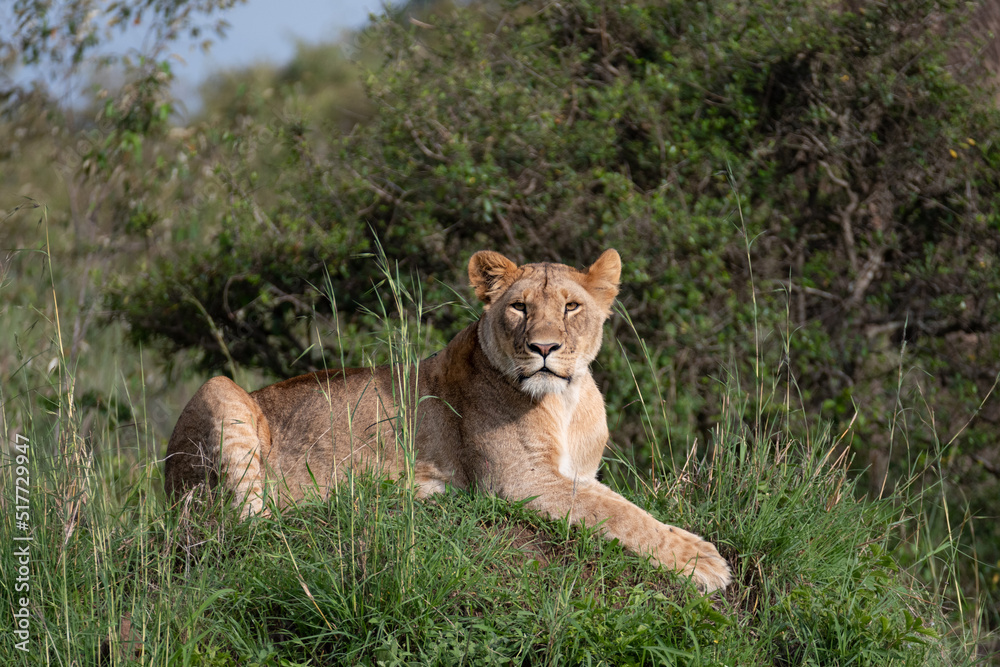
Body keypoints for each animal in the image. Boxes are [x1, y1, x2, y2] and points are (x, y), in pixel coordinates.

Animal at [164, 249, 732, 591]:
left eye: (572, 306)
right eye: (519, 307)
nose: (544, 348)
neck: (565, 403)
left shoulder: (576, 474)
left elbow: (623, 508)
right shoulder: (520, 480)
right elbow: (618, 516)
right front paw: (703, 562)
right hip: (219, 391)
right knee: (247, 524)